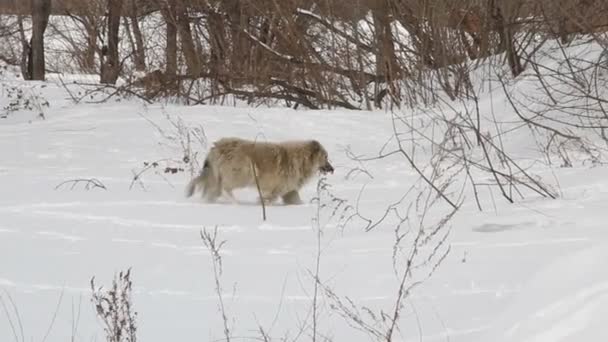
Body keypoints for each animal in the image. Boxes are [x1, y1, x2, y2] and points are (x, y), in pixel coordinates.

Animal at [186, 137, 334, 206]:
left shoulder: (289, 191)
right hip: (245, 172)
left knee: (214, 190)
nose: (333, 169)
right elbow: (269, 198)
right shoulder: (278, 189)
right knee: (225, 188)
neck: (302, 160)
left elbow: (296, 200)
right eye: (325, 157)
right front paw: (260, 202)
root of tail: (216, 148)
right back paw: (235, 202)